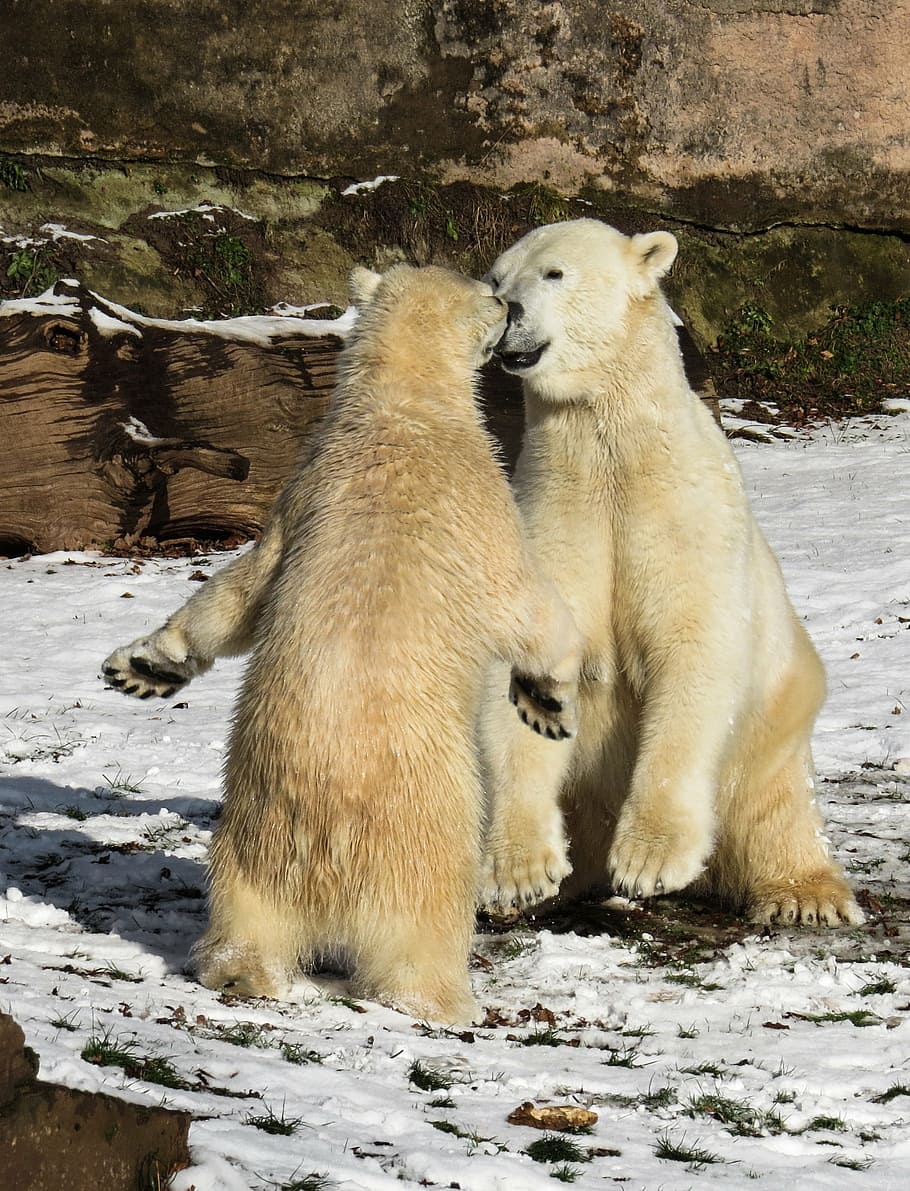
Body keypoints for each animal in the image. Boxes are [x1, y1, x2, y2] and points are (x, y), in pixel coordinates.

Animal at [104, 263, 581, 1023]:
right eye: (492, 293)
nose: (509, 308)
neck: (400, 409)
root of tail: (327, 841)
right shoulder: (480, 499)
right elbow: (527, 601)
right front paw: (548, 700)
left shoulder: (299, 494)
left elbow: (240, 592)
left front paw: (147, 665)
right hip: (426, 826)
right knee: (422, 925)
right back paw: (447, 1000)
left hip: (252, 835)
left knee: (246, 911)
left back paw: (239, 971)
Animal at [478, 218, 863, 928]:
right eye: (496, 277)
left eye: (554, 273)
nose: (507, 311)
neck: (613, 450)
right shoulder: (554, 514)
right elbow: (525, 671)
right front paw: (517, 876)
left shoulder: (681, 516)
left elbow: (693, 649)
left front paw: (651, 860)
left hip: (774, 731)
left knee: (775, 809)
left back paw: (806, 896)